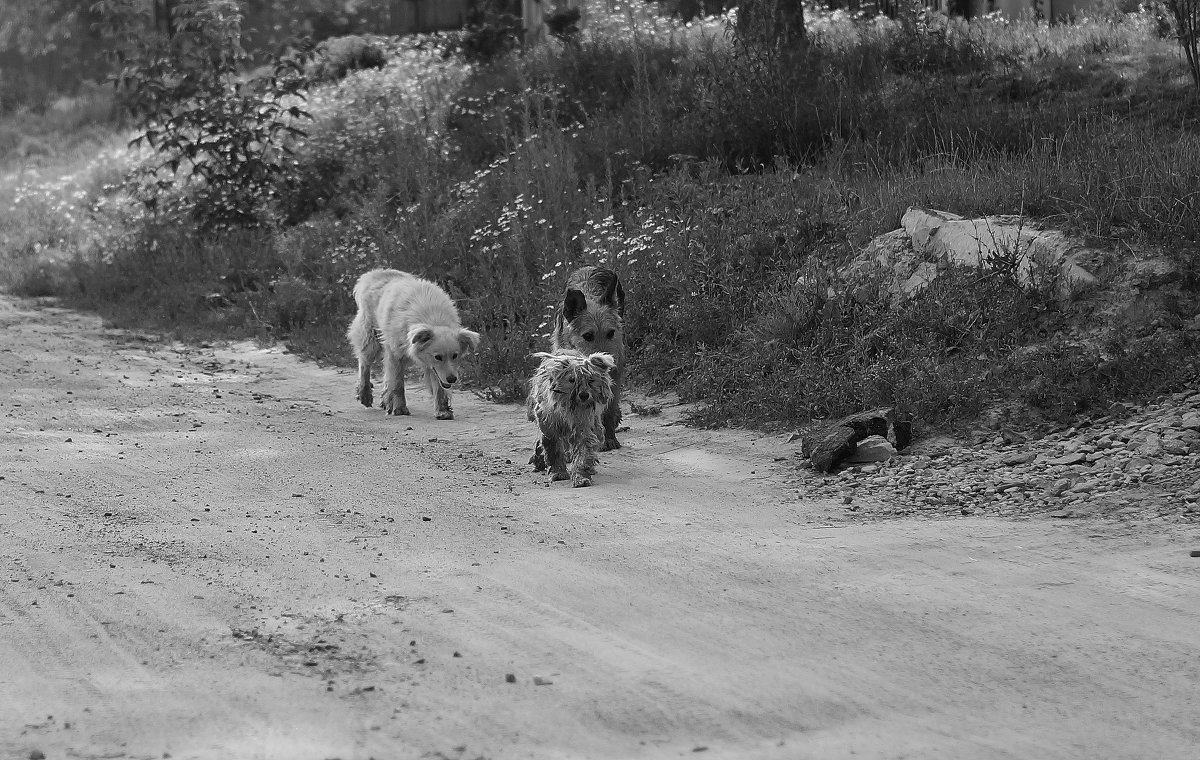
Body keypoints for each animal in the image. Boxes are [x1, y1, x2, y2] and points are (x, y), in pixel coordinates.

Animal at [345, 267, 480, 420]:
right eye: (438, 357)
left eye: (455, 356)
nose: (452, 379)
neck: (433, 319)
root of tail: (375, 273)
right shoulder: (396, 353)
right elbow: (398, 384)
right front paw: (400, 408)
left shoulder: (436, 368)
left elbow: (439, 386)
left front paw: (442, 410)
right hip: (371, 339)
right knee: (364, 364)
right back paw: (365, 394)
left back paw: (385, 399)